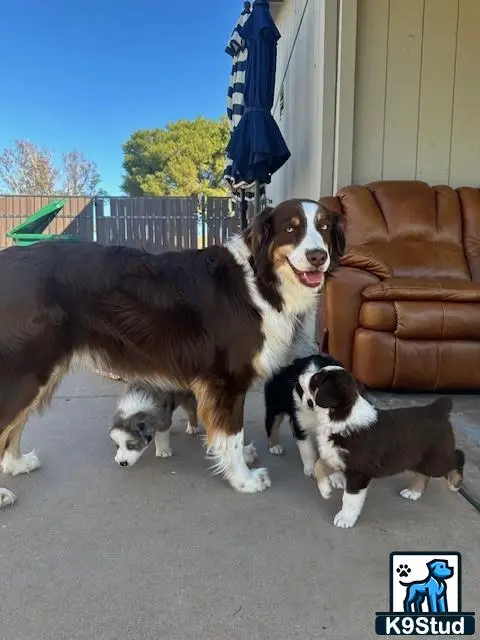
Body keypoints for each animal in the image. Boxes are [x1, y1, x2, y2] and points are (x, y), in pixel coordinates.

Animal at [0, 198, 344, 508]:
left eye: (324, 227)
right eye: (291, 229)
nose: (318, 257)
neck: (260, 280)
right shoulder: (227, 380)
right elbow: (231, 434)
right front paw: (243, 480)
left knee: (14, 428)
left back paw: (17, 464)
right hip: (24, 373)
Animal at [298, 368, 466, 528]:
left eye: (316, 378)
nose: (302, 373)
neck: (341, 419)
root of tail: (437, 409)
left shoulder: (358, 472)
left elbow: (350, 498)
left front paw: (345, 518)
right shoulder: (336, 458)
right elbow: (318, 466)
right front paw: (325, 491)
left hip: (436, 459)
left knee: (457, 456)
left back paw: (455, 482)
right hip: (414, 458)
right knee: (424, 474)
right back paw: (413, 492)